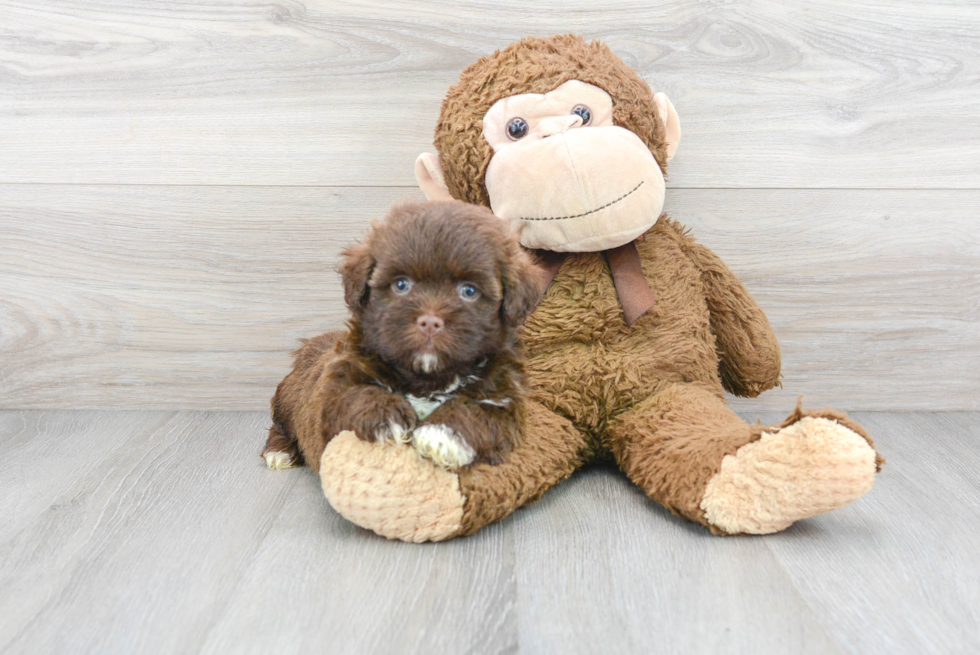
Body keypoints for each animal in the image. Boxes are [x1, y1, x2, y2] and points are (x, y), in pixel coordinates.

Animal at [260, 200, 544, 472]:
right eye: (401, 284)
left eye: (469, 291)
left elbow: (474, 412)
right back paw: (280, 452)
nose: (430, 322)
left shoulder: (506, 403)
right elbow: (354, 394)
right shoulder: (332, 390)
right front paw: (385, 416)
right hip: (288, 399)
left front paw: (438, 436)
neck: (427, 377)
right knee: (281, 425)